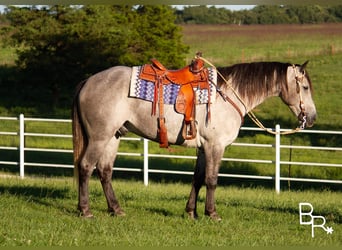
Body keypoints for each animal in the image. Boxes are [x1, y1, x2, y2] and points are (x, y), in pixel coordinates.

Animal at [71, 60, 316, 219]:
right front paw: (212, 213)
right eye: (304, 87)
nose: (312, 118)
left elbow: (197, 179)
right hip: (99, 137)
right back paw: (86, 211)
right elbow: (211, 179)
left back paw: (116, 209)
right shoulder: (215, 146)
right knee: (86, 167)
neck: (228, 95)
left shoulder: (203, 147)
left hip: (113, 137)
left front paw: (191, 212)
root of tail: (89, 81)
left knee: (104, 171)